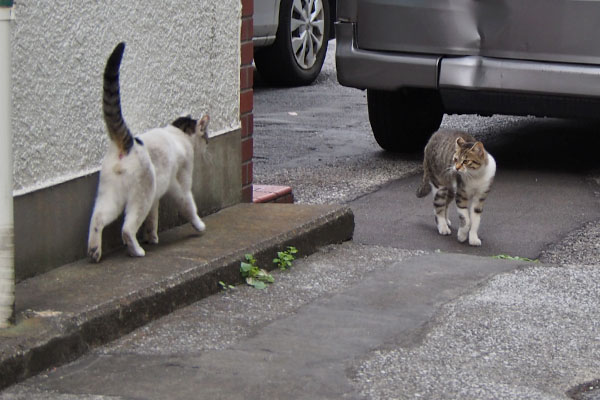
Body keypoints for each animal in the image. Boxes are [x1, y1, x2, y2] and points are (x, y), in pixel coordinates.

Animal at [86, 42, 209, 262]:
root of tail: (126, 144)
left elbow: (153, 218)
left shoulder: (155, 198)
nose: (208, 144)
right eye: (207, 137)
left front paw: (151, 236)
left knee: (98, 217)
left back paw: (94, 250)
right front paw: (199, 225)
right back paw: (136, 250)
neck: (178, 133)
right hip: (141, 194)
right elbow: (188, 205)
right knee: (127, 228)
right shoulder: (180, 184)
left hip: (111, 195)